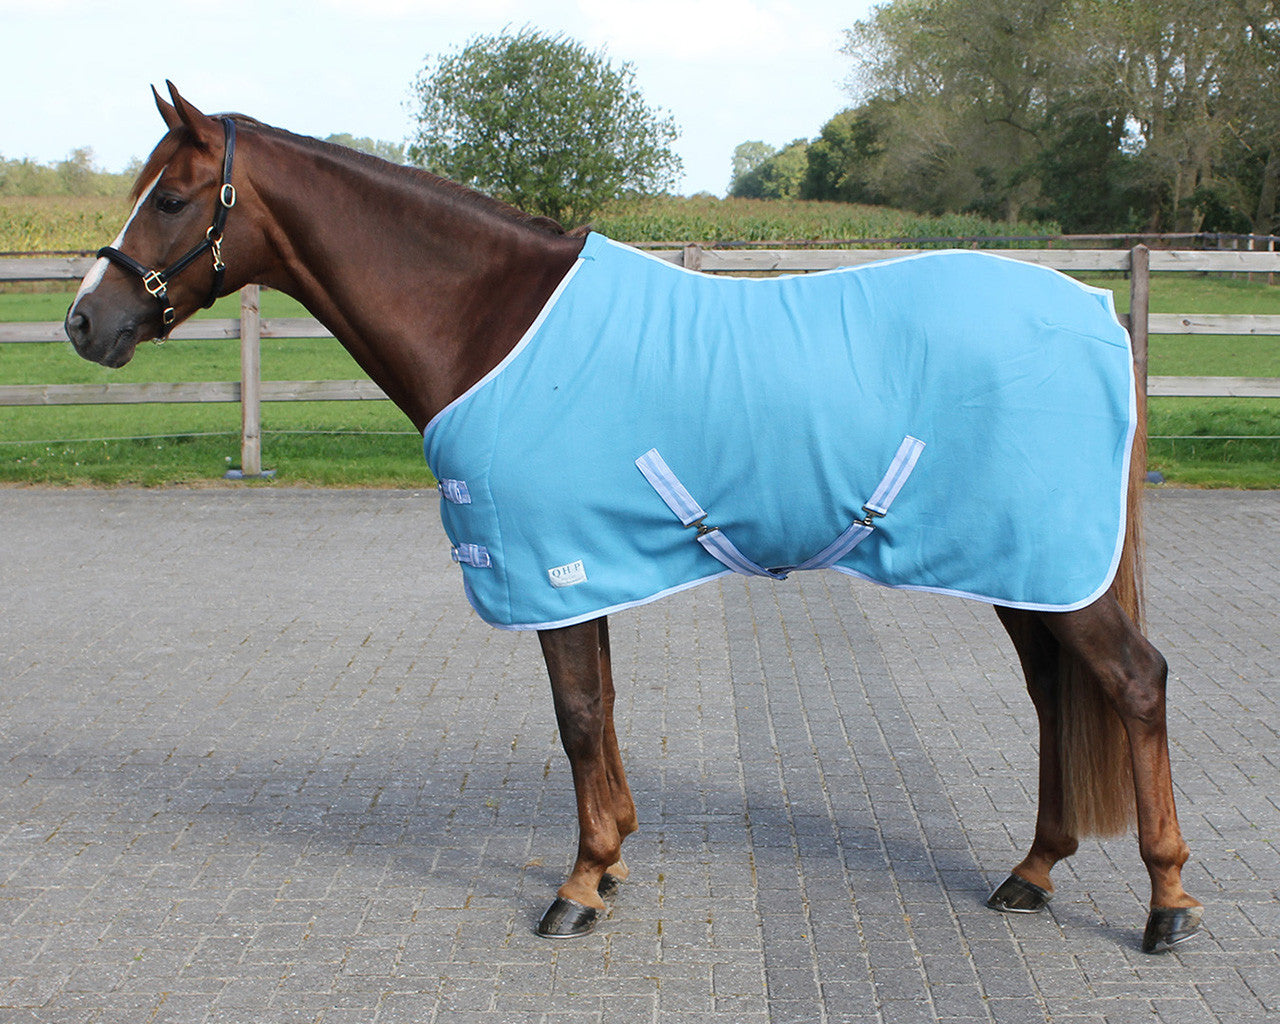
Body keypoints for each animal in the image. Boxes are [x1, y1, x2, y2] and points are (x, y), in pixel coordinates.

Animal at [65, 83, 1202, 953]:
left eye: (172, 198)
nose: (85, 323)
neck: (492, 323)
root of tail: (1097, 314)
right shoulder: (581, 564)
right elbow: (600, 708)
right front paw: (608, 859)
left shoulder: (549, 562)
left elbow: (574, 716)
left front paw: (577, 886)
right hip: (1027, 568)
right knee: (1056, 699)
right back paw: (1033, 871)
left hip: (1055, 570)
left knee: (1134, 683)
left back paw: (1167, 903)